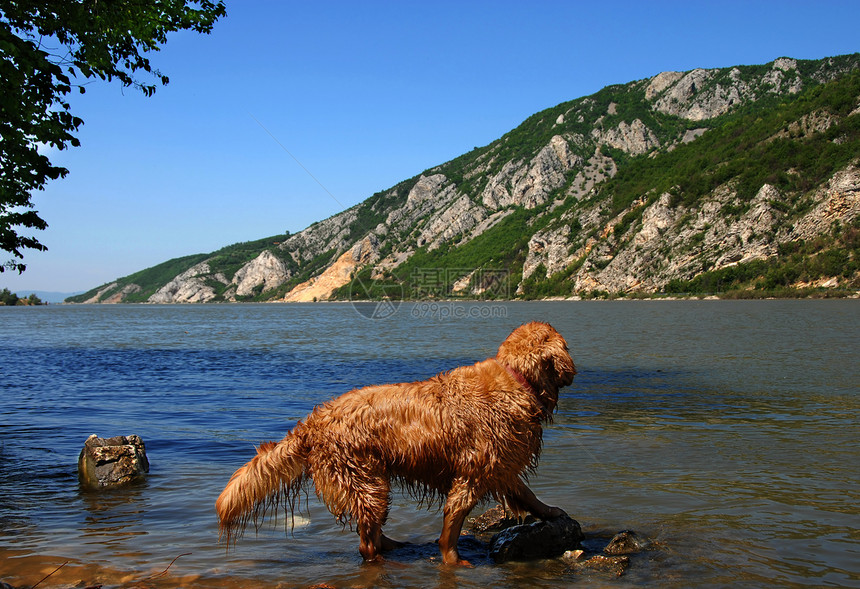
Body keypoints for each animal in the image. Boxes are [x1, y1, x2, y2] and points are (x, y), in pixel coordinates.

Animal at [217, 322, 576, 564]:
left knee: (371, 531)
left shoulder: (500, 465)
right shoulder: (473, 473)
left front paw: (550, 511)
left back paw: (393, 545)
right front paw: (452, 559)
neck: (517, 379)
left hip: (370, 481)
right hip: (365, 478)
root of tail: (314, 421)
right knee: (366, 544)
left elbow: (527, 494)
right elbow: (453, 524)